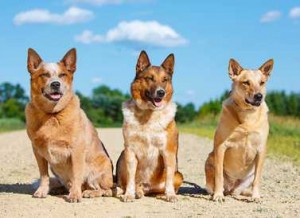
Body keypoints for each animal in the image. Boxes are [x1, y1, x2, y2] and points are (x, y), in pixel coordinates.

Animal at [25, 47, 112, 203]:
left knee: (106, 189)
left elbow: (76, 174)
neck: (52, 114)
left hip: (97, 169)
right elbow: (43, 175)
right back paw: (60, 189)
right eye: (45, 75)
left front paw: (75, 195)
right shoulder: (37, 150)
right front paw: (42, 191)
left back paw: (90, 192)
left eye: (62, 75)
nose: (55, 84)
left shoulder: (76, 150)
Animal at [115, 50, 183, 202]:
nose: (161, 92)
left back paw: (161, 194)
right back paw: (131, 192)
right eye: (150, 78)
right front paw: (129, 194)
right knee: (129, 184)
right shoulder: (130, 150)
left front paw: (170, 195)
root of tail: (147, 187)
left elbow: (169, 179)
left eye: (165, 80)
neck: (148, 114)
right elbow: (130, 179)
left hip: (179, 175)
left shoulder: (168, 152)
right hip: (122, 156)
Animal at [205, 58, 274, 203]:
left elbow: (257, 179)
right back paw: (216, 193)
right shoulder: (221, 146)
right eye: (246, 82)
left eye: (262, 82)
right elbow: (219, 176)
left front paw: (256, 196)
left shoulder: (261, 149)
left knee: (239, 191)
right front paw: (218, 195)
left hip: (248, 177)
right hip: (209, 161)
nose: (259, 96)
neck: (248, 114)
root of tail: (231, 187)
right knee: (214, 185)